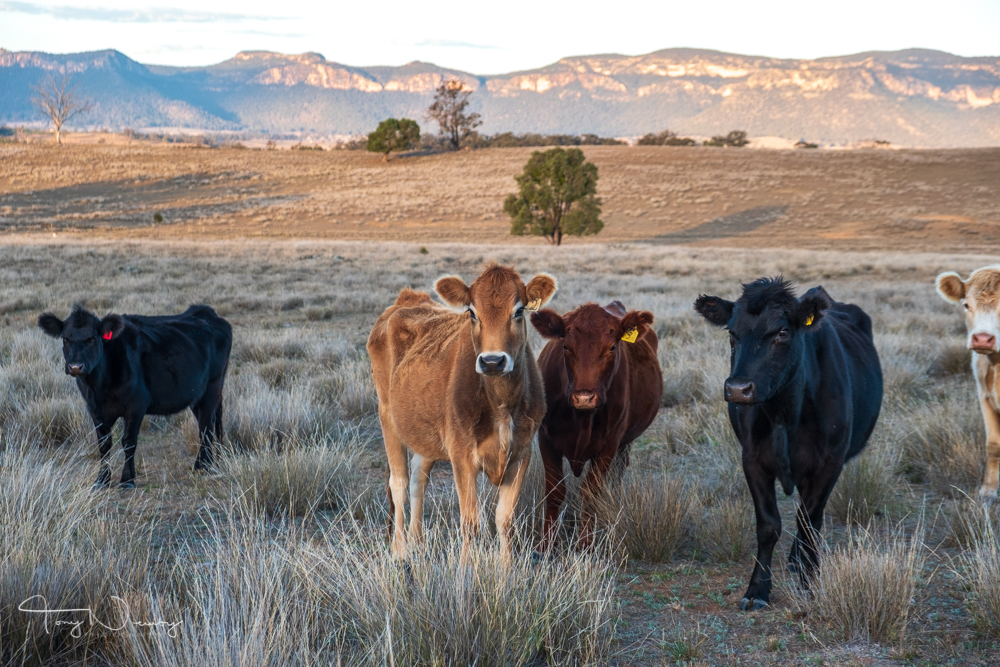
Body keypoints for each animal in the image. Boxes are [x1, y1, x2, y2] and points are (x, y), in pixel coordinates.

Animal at [37, 306, 232, 488]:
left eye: (92, 338)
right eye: (65, 339)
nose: (76, 367)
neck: (99, 386)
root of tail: (206, 312)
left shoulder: (136, 405)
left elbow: (128, 442)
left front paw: (127, 479)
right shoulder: (94, 409)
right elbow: (104, 444)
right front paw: (102, 480)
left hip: (212, 387)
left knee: (206, 427)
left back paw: (205, 466)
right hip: (197, 396)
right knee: (207, 424)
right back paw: (205, 462)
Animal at [368, 264, 556, 556]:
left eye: (519, 311)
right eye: (472, 312)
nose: (492, 361)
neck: (501, 404)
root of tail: (408, 299)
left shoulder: (521, 454)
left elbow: (505, 521)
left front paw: (507, 568)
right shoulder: (462, 455)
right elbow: (470, 523)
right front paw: (466, 568)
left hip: (425, 430)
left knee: (418, 479)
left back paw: (416, 542)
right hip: (387, 415)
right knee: (399, 484)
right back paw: (399, 551)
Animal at [532, 300, 664, 552]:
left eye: (612, 347)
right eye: (565, 346)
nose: (584, 397)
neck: (581, 417)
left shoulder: (609, 444)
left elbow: (590, 492)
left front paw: (585, 544)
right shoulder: (546, 438)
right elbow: (554, 492)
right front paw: (546, 545)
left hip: (624, 443)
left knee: (617, 475)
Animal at [696, 280, 884, 612]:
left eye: (782, 332)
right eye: (732, 333)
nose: (738, 389)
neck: (785, 414)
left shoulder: (829, 463)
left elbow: (809, 522)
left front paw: (810, 584)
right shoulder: (752, 459)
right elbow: (768, 525)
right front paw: (757, 589)